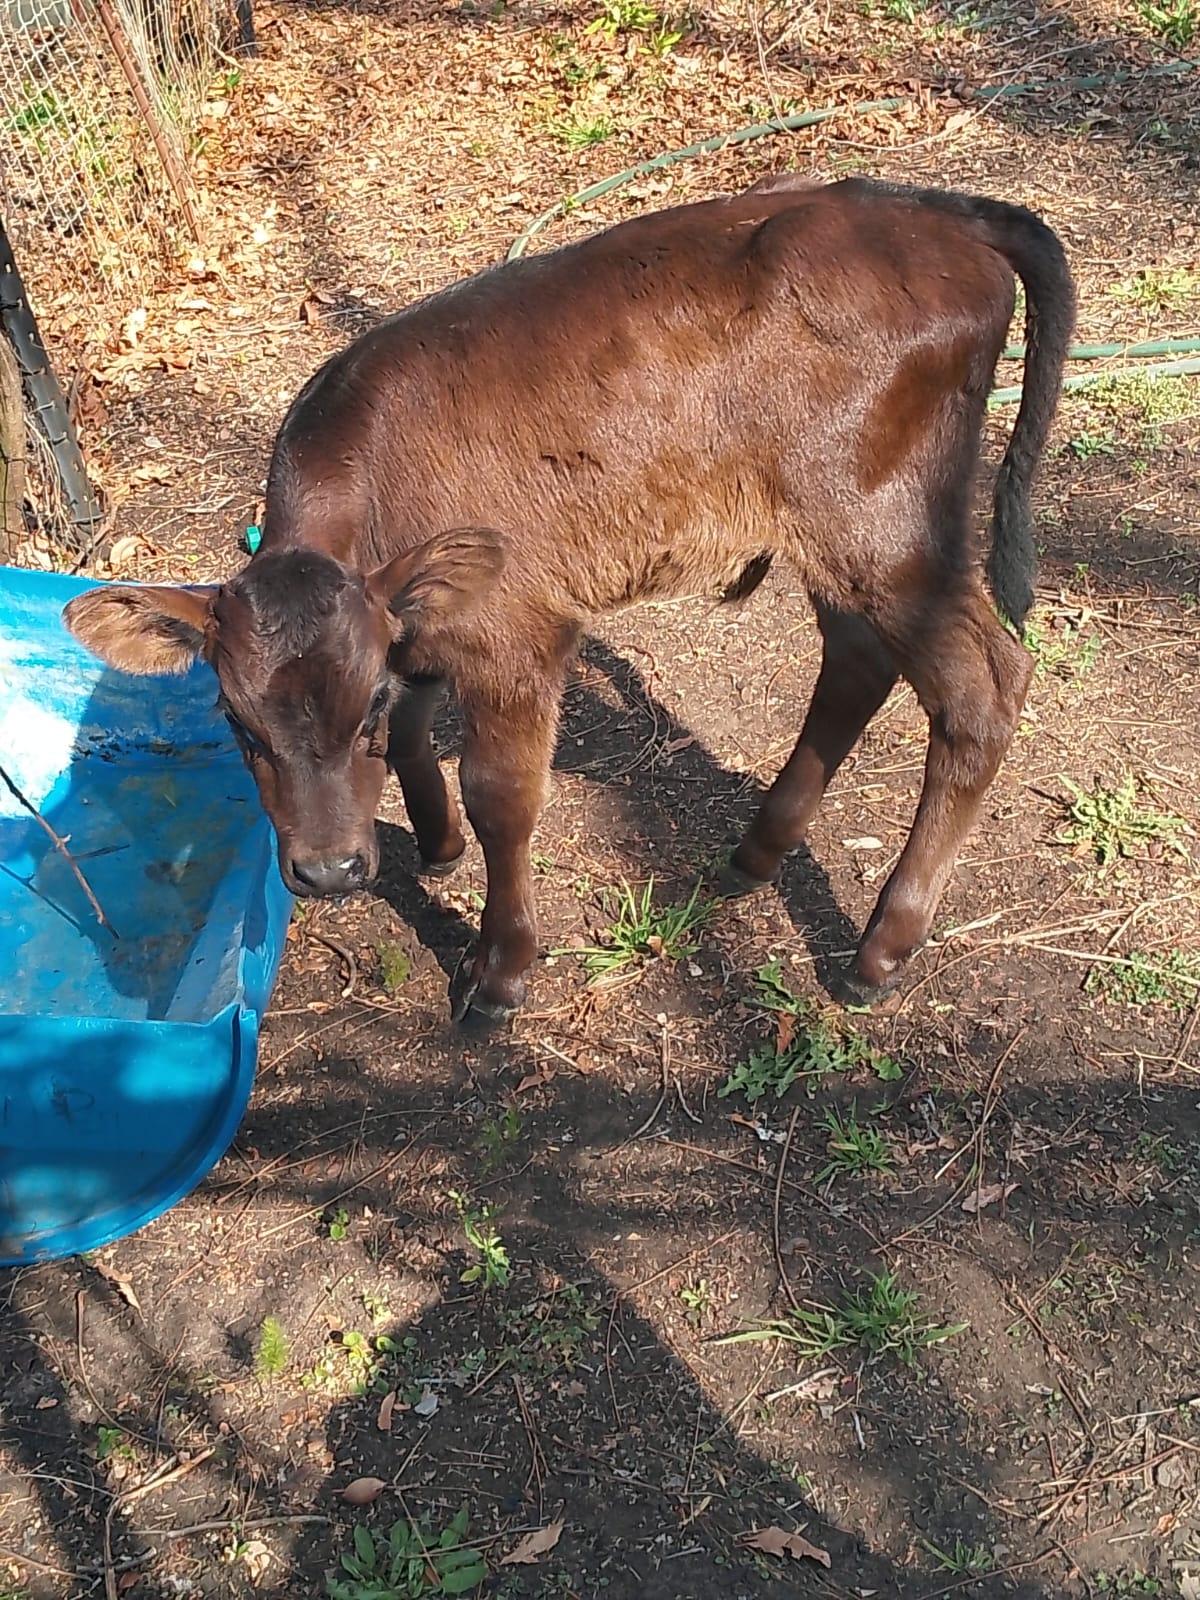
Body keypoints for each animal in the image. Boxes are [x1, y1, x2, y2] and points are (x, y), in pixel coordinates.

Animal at [64, 176, 1075, 1026]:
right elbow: (424, 735)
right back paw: (757, 849)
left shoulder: (517, 632)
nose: (329, 869)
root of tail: (929, 209)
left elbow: (501, 795)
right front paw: (435, 843)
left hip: (885, 522)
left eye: (358, 714)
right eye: (239, 727)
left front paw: (499, 969)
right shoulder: (423, 622)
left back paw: (880, 949)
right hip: (831, 533)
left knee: (983, 685)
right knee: (858, 659)